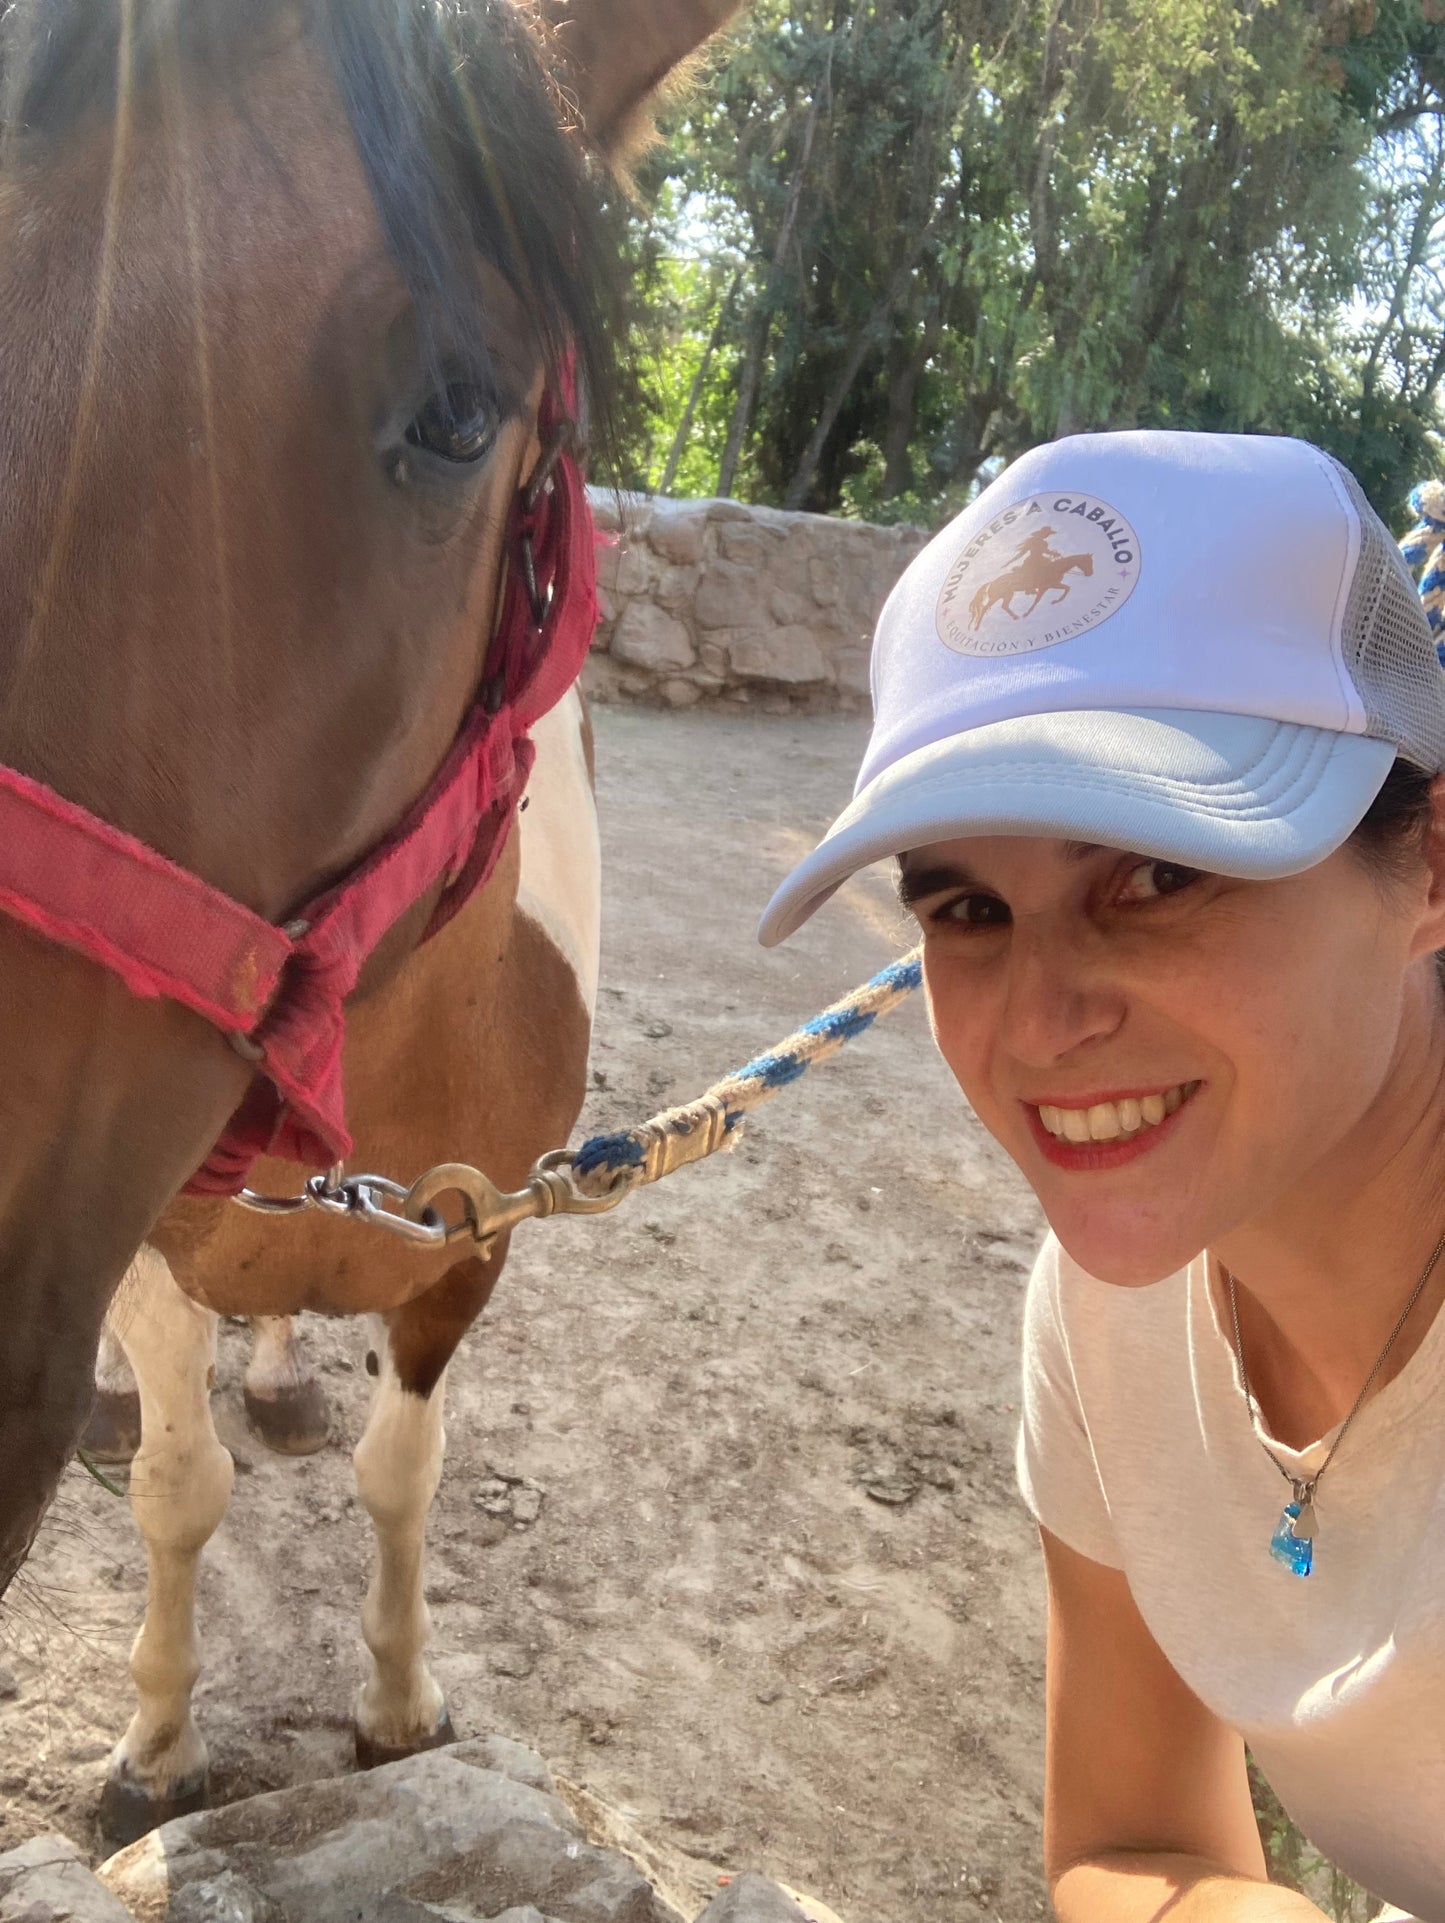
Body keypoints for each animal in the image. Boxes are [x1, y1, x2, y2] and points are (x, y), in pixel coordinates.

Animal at [0, 0, 739, 1843]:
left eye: (461, 418)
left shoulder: (470, 1241)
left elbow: (406, 1471)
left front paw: (400, 1704)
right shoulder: (141, 1240)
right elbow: (178, 1485)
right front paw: (158, 1742)